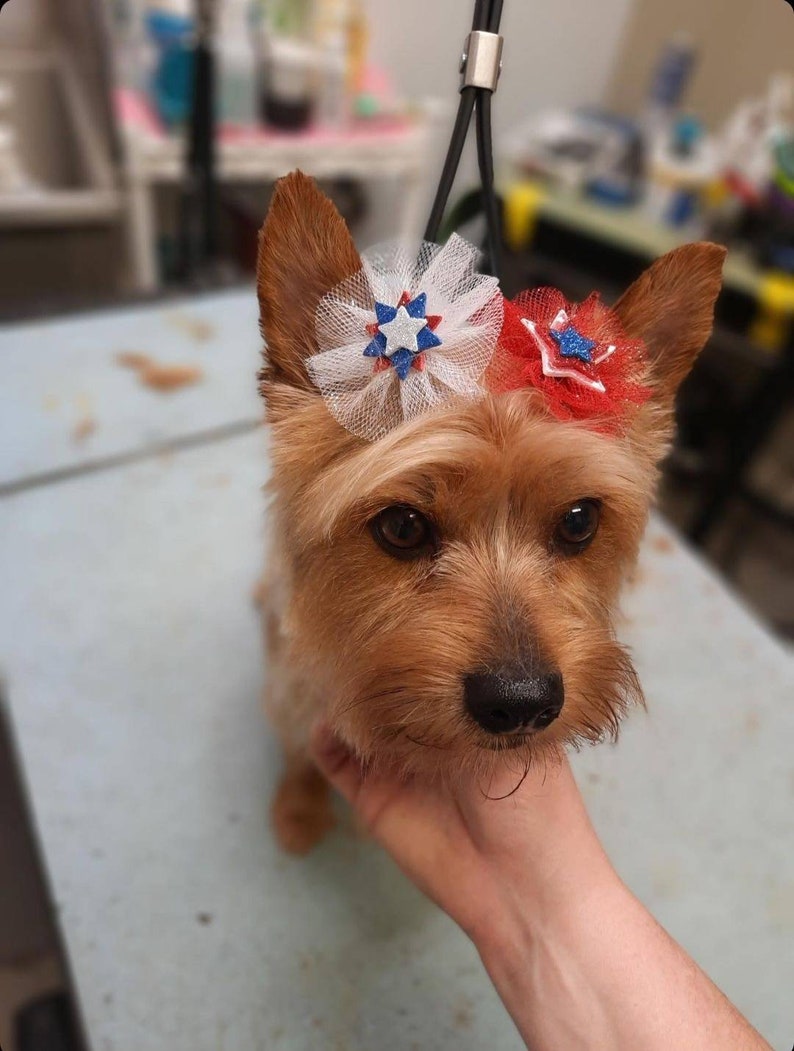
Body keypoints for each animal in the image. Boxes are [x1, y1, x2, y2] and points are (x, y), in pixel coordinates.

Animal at [259, 166, 727, 853]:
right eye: (402, 526)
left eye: (580, 521)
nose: (522, 703)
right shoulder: (294, 692)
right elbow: (296, 751)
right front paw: (297, 808)